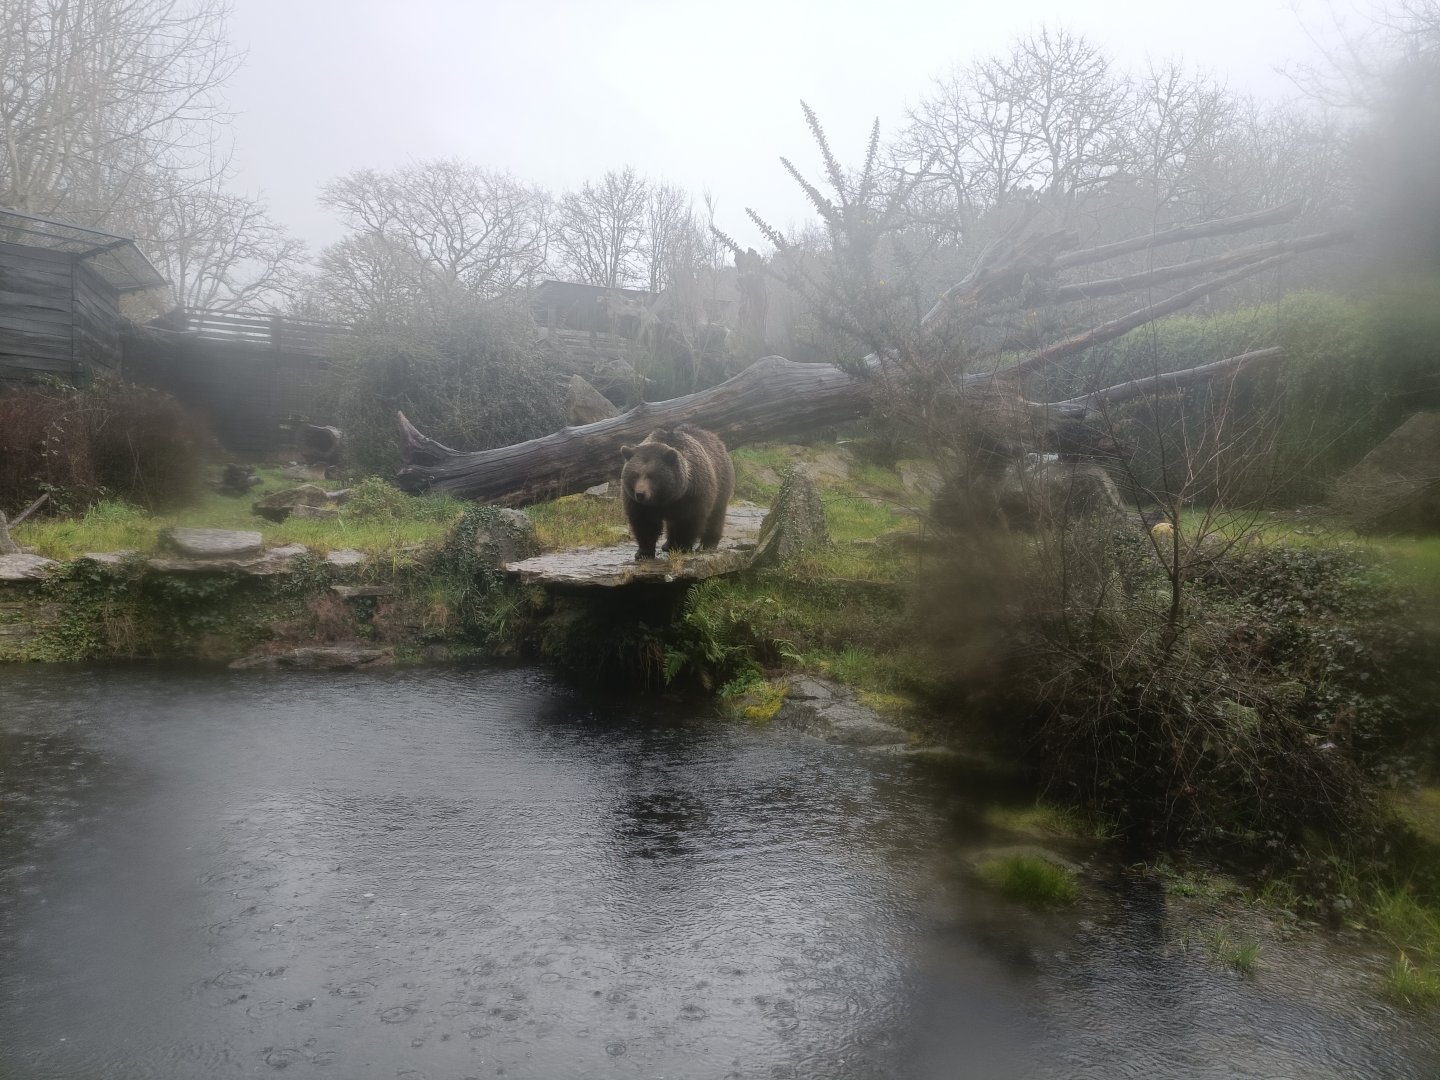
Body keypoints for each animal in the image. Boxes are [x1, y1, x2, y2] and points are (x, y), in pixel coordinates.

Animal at [619, 426, 735, 560]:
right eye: (634, 475)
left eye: (652, 476)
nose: (640, 494)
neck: (666, 497)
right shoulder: (638, 502)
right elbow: (644, 522)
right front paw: (643, 552)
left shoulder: (692, 494)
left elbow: (687, 520)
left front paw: (682, 547)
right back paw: (667, 545)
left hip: (721, 483)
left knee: (715, 515)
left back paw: (708, 544)